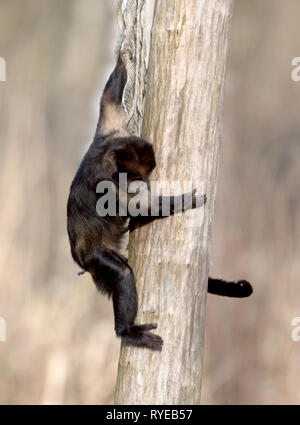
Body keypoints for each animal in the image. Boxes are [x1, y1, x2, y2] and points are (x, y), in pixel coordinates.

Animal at [67, 51, 252, 350]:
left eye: (143, 175)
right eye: (134, 177)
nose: (140, 183)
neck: (107, 156)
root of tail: (80, 258)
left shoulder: (111, 133)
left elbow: (108, 102)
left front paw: (123, 60)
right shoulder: (110, 183)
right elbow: (137, 207)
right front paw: (183, 201)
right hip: (96, 258)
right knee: (122, 274)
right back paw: (126, 331)